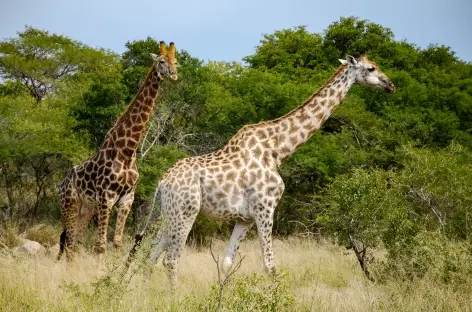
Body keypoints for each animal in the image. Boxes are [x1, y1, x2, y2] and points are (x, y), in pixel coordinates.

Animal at [55, 40, 181, 260]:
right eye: (161, 61)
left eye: (176, 61)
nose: (174, 74)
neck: (127, 150)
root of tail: (61, 183)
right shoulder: (106, 197)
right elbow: (100, 246)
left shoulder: (127, 199)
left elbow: (117, 243)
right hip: (69, 204)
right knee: (69, 242)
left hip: (85, 208)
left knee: (74, 242)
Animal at [140, 54, 394, 288]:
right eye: (371, 68)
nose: (390, 85)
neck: (278, 150)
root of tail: (162, 182)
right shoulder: (265, 208)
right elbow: (270, 265)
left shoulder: (244, 219)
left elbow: (227, 263)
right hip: (185, 211)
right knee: (171, 260)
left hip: (169, 213)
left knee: (150, 255)